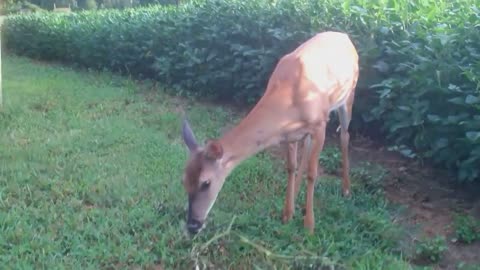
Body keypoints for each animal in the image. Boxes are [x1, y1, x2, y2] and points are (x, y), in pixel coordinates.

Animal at [181, 30, 360, 235]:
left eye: (206, 183)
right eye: (183, 180)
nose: (192, 225)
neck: (290, 98)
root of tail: (345, 36)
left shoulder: (320, 124)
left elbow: (313, 173)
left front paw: (309, 225)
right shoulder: (289, 133)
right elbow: (290, 167)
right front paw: (287, 214)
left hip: (349, 94)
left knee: (345, 135)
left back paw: (346, 189)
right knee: (307, 147)